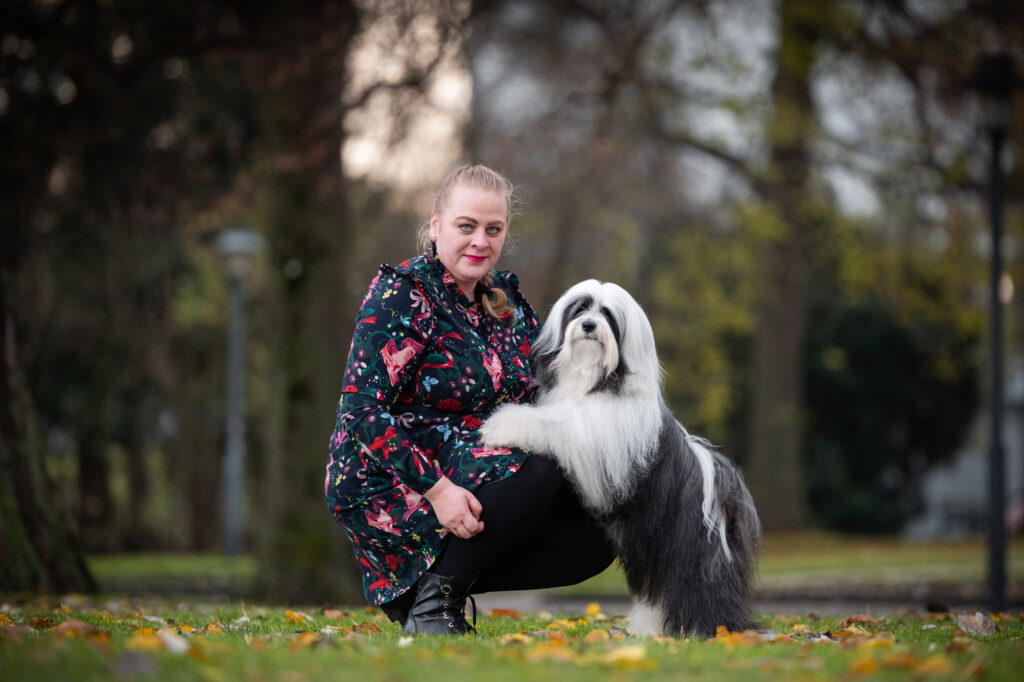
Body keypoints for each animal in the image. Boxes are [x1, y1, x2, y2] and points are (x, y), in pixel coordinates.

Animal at [479, 278, 761, 638]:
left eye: (608, 316)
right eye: (581, 308)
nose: (588, 325)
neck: (594, 380)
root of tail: (718, 481)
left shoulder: (595, 437)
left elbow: (553, 425)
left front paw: (501, 424)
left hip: (691, 550)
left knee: (699, 589)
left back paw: (714, 630)